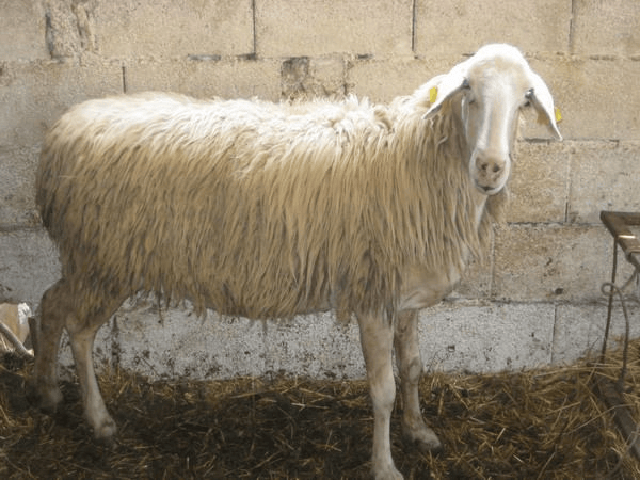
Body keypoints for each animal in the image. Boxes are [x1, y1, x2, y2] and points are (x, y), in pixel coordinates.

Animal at [33, 44, 561, 480]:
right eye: (468, 90)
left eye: (525, 100)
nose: (490, 167)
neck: (418, 158)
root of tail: (61, 131)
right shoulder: (373, 297)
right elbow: (383, 390)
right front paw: (385, 466)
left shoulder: (405, 297)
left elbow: (412, 368)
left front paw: (420, 431)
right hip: (103, 258)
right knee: (78, 327)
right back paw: (98, 419)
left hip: (91, 259)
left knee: (50, 303)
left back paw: (49, 393)